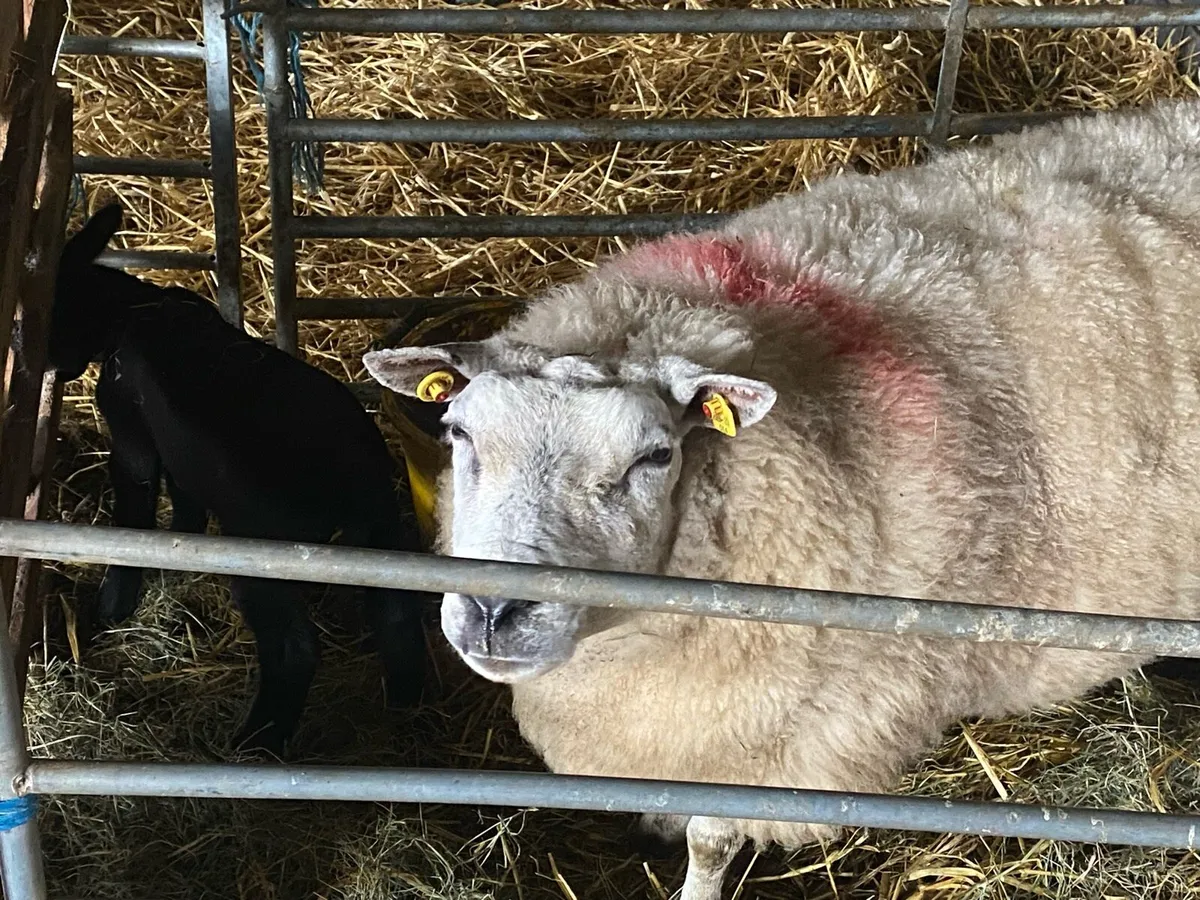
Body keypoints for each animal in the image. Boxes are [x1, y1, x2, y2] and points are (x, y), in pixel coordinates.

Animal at [50, 203, 428, 754]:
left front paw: (113, 606)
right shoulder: (185, 451)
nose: (53, 364)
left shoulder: (131, 424)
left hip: (262, 551)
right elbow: (184, 496)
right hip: (379, 519)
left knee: (293, 648)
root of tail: (341, 484)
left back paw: (257, 742)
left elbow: (135, 494)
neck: (133, 310)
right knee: (395, 609)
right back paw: (406, 706)